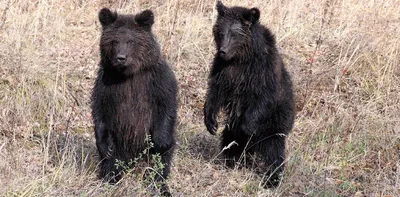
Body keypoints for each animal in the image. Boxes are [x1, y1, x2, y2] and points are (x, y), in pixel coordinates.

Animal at [91, 7, 179, 195]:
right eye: (114, 40)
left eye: (131, 41)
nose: (121, 57)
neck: (129, 74)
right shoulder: (106, 84)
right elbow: (99, 112)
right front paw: (104, 147)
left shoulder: (157, 81)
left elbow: (166, 107)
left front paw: (160, 142)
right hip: (120, 145)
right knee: (112, 164)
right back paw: (110, 180)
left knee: (160, 165)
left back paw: (161, 186)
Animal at [205, 0, 296, 187]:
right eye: (221, 31)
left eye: (235, 33)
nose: (223, 50)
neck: (241, 58)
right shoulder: (223, 70)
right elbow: (215, 92)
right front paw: (210, 122)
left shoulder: (262, 72)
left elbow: (262, 99)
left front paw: (247, 127)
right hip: (233, 127)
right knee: (231, 141)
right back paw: (232, 162)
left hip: (274, 125)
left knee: (274, 152)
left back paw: (272, 179)